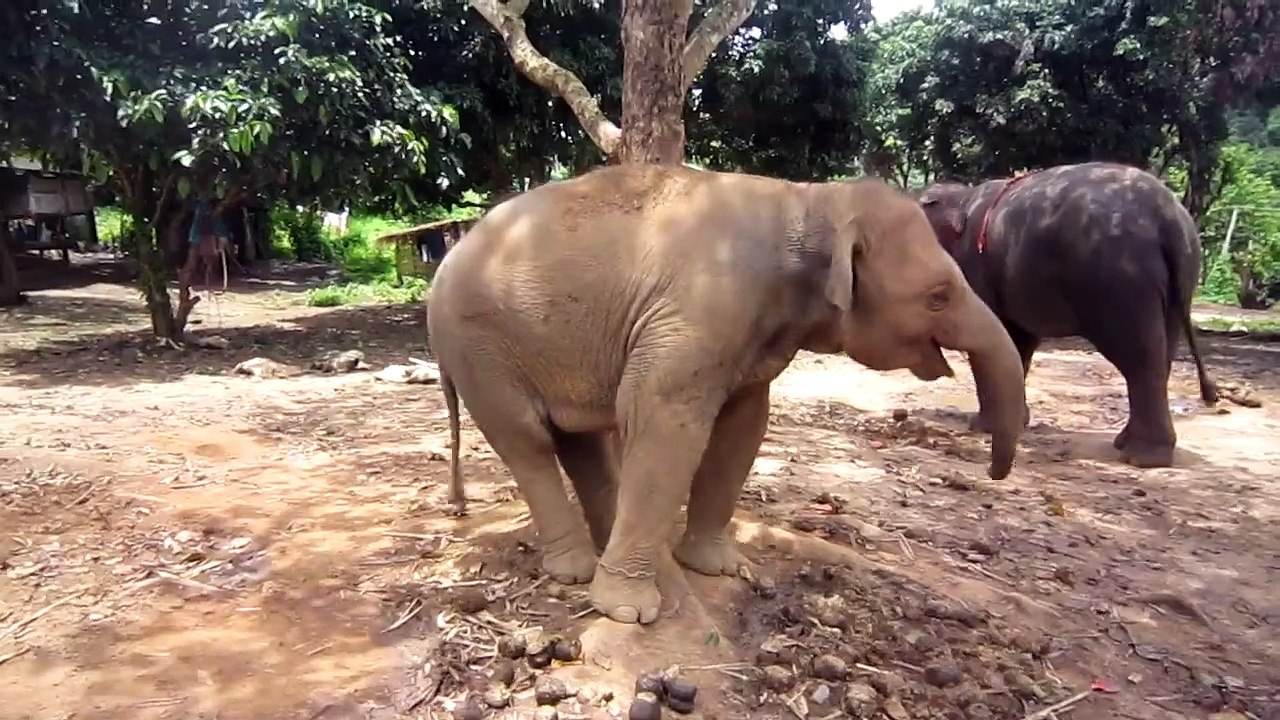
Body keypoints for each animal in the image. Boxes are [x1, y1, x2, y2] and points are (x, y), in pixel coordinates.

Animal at [427, 163, 1028, 626]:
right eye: (938, 296)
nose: (995, 472)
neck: (809, 202)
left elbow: (745, 423)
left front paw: (717, 568)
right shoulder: (698, 313)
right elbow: (663, 419)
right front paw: (627, 613)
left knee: (577, 439)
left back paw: (617, 548)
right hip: (481, 350)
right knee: (528, 441)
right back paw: (576, 570)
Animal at [916, 161, 1218, 469]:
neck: (962, 197)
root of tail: (1166, 218)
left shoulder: (977, 267)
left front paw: (983, 427)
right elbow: (1017, 343)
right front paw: (1014, 424)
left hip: (1119, 280)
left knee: (1140, 359)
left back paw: (1142, 457)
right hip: (1179, 275)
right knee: (1162, 353)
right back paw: (1127, 443)